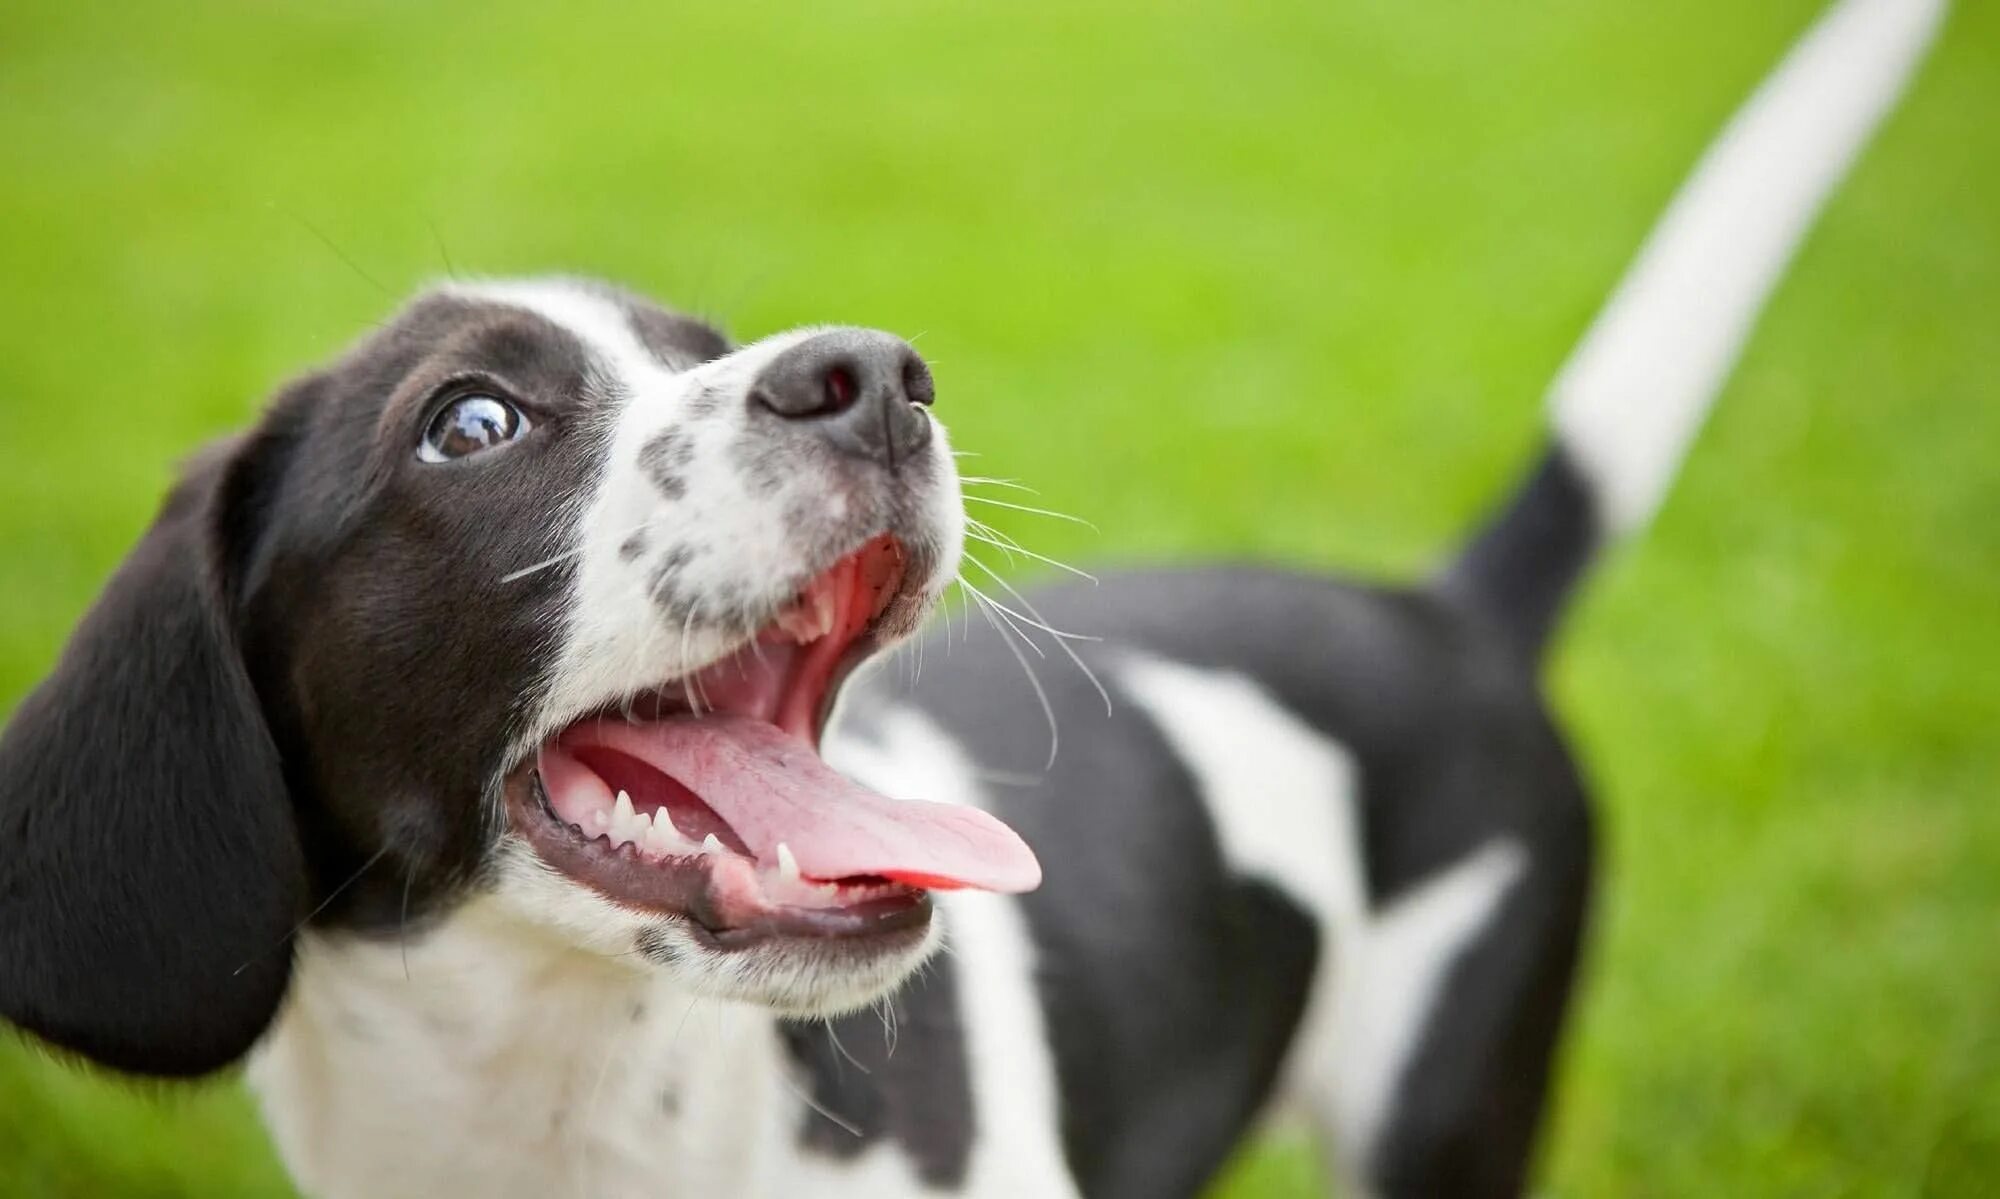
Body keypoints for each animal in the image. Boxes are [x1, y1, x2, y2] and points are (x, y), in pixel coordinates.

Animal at [0, 2, 1936, 1199]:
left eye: (705, 346)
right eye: (471, 422)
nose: (873, 372)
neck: (574, 1120)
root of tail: (1439, 609)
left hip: (1447, 1095)